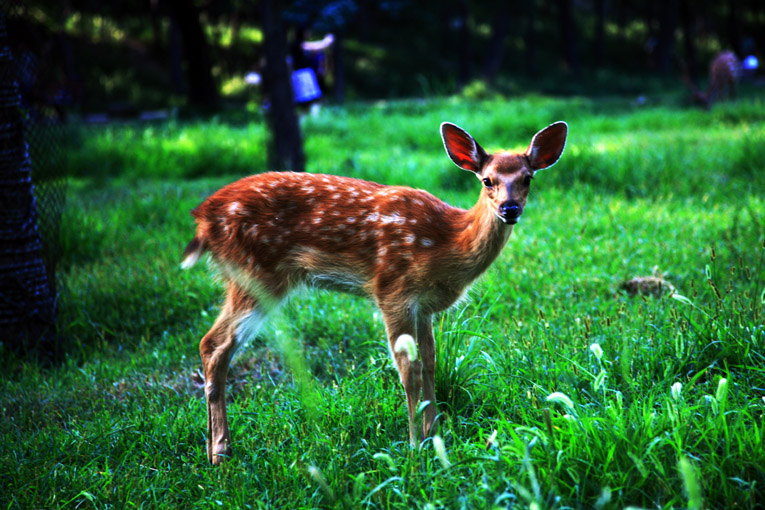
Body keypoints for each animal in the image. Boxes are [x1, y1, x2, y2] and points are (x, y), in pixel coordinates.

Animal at [184, 119, 568, 462]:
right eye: (487, 180)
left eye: (527, 178)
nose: (509, 208)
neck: (447, 243)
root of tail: (202, 217)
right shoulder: (392, 291)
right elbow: (407, 370)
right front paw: (415, 446)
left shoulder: (424, 307)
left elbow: (430, 363)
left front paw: (437, 434)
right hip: (256, 273)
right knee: (214, 344)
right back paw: (221, 452)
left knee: (211, 345)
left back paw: (212, 448)